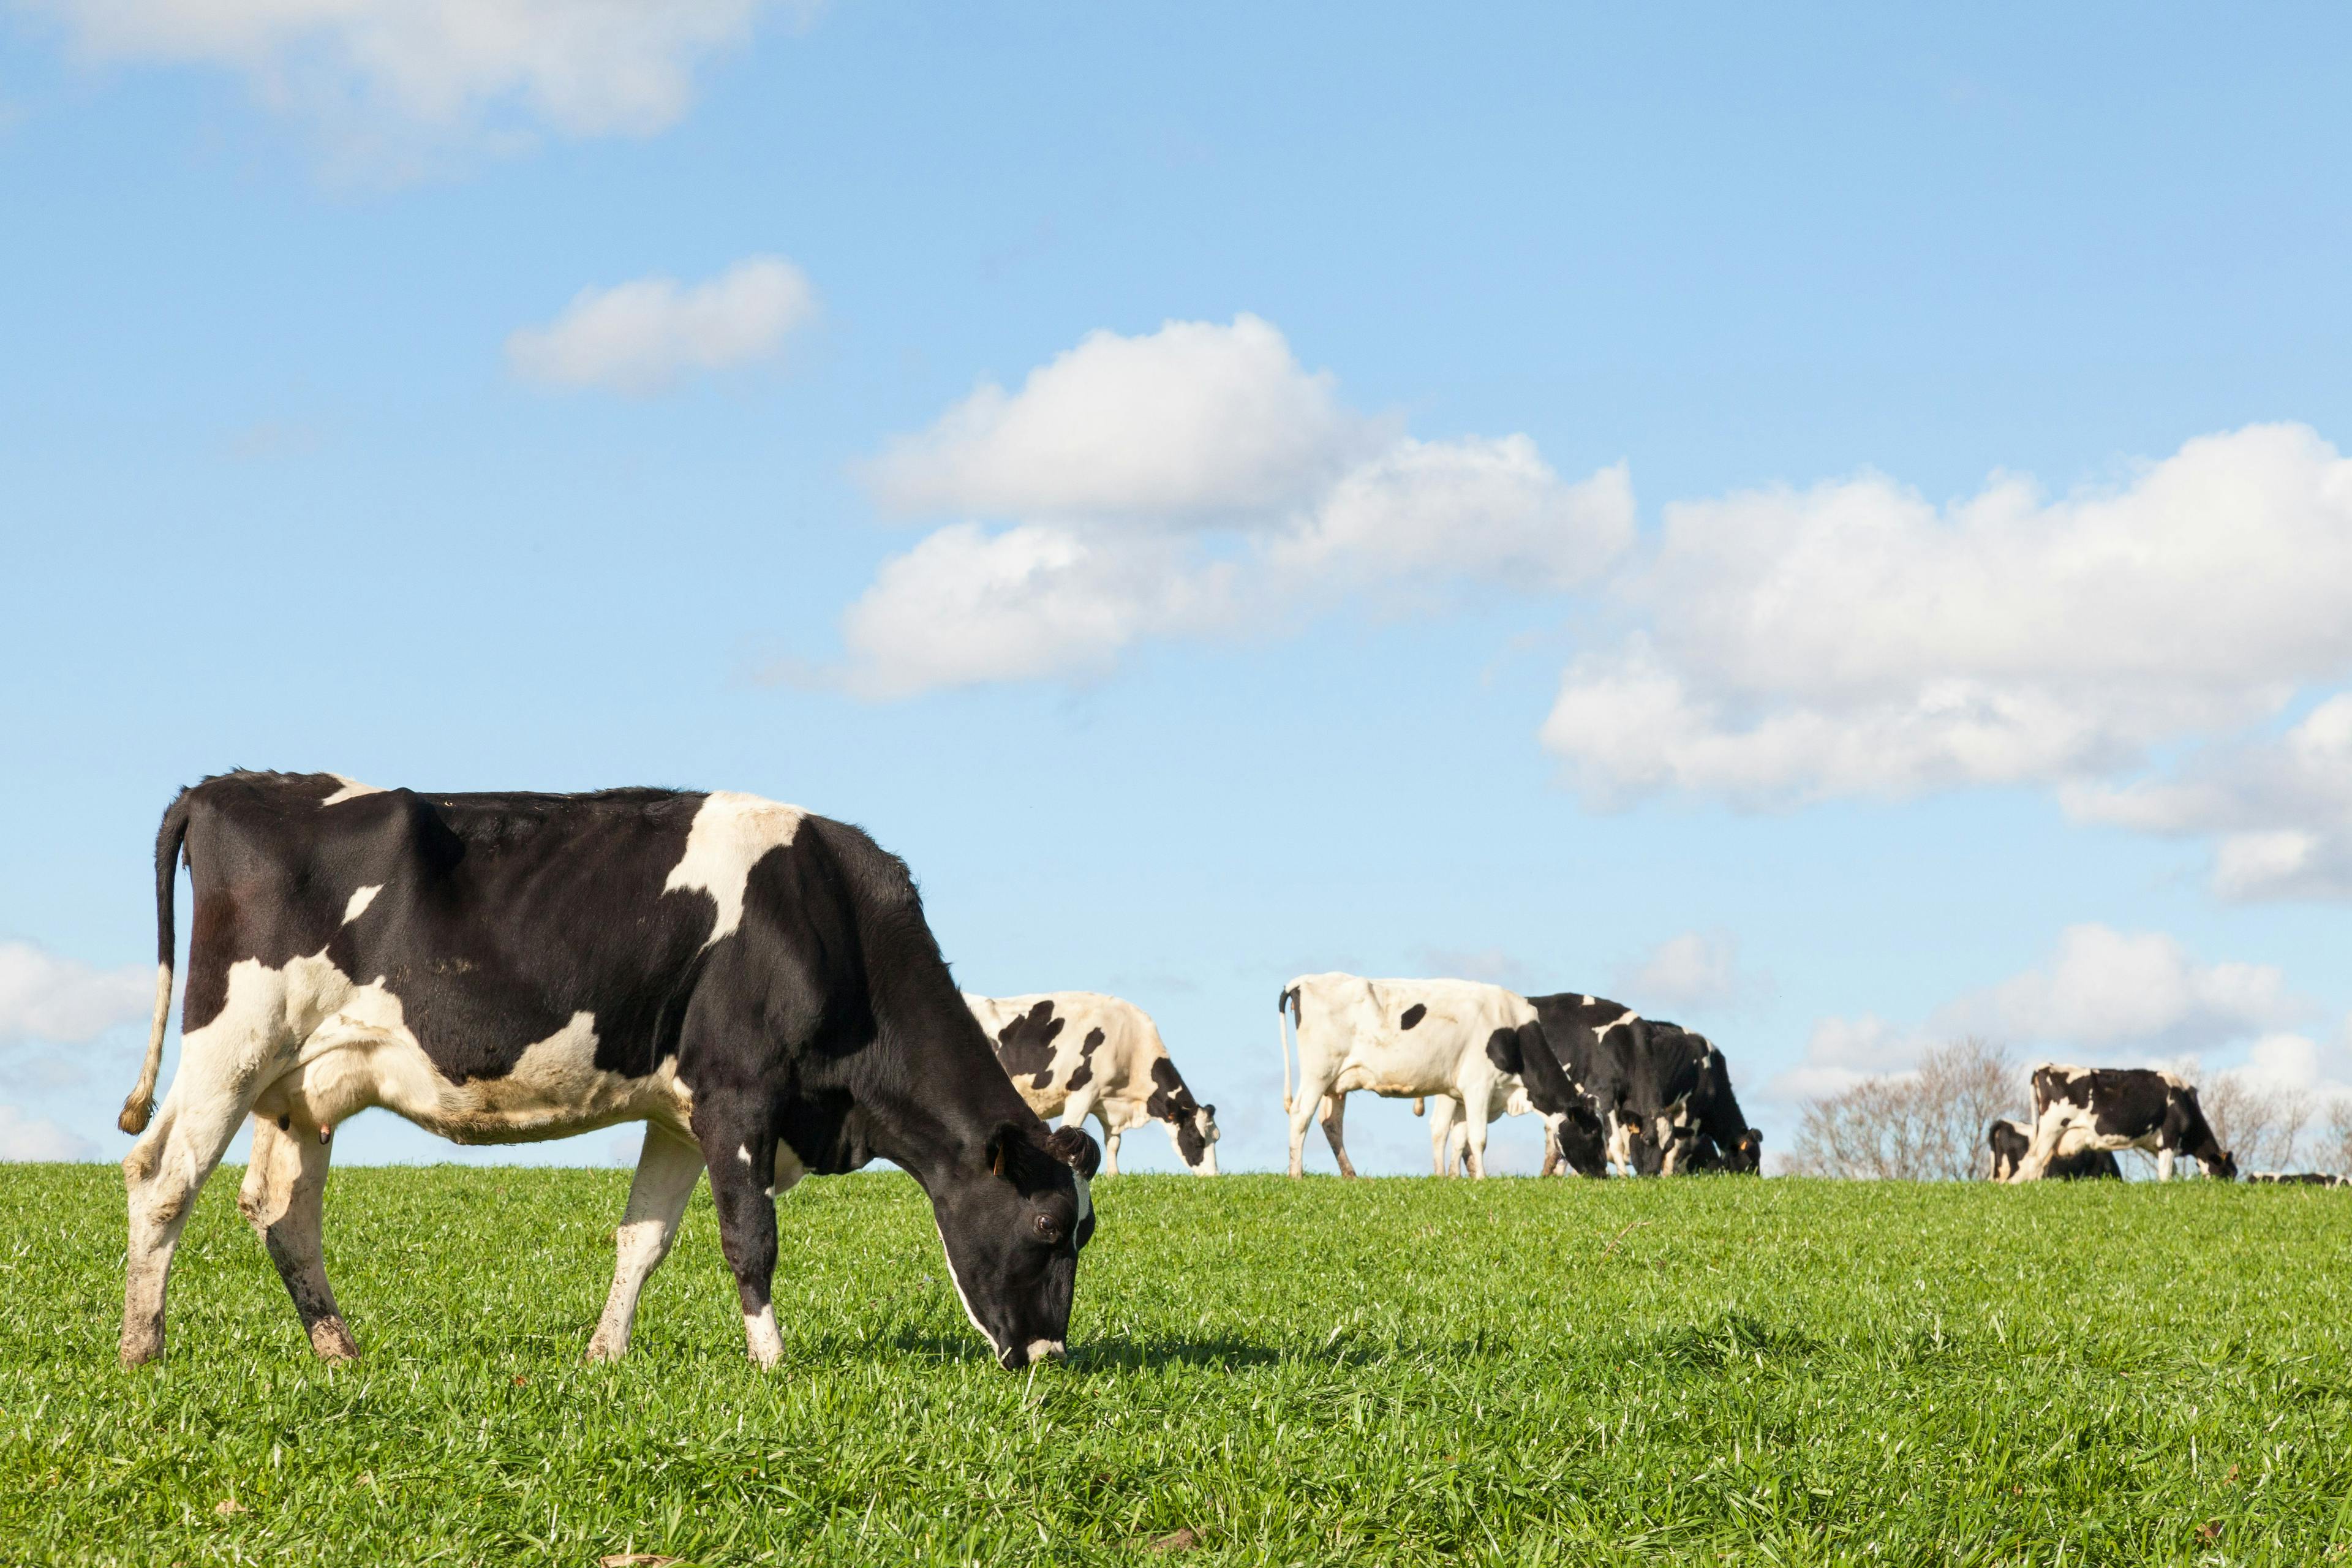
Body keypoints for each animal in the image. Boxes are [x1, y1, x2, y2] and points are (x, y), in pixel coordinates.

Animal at [115, 771, 1096, 1373]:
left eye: (1084, 1232)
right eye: (1050, 1226)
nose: (1049, 1358)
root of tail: (229, 786)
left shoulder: (680, 1114)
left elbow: (644, 1239)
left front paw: (605, 1356)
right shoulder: (739, 1093)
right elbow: (751, 1236)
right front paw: (773, 1362)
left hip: (301, 1086)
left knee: (282, 1212)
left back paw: (339, 1351)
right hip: (234, 1041)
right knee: (162, 1176)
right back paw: (142, 1349)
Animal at [964, 992, 1223, 1175]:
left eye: (1216, 1137)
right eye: (1198, 1141)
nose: (1214, 1175)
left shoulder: (1107, 1101)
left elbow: (1114, 1143)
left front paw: (1113, 1175)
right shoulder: (1084, 1092)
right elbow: (1070, 1128)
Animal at [1270, 973, 1580, 1185]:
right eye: (1590, 1129)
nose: (1593, 1176)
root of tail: (1304, 980)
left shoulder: (1461, 1094)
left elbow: (1459, 1135)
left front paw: (1453, 1177)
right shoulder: (1478, 1086)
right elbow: (1476, 1137)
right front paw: (1480, 1178)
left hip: (1336, 1083)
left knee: (1331, 1123)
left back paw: (1350, 1174)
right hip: (1318, 1072)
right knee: (1301, 1114)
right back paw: (1296, 1174)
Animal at [2003, 1062, 2239, 1185]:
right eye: (2228, 1174)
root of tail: (2046, 1066)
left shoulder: (2157, 1145)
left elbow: (2171, 1171)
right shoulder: (2170, 1138)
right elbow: (2166, 1174)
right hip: (2052, 1127)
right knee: (2032, 1160)